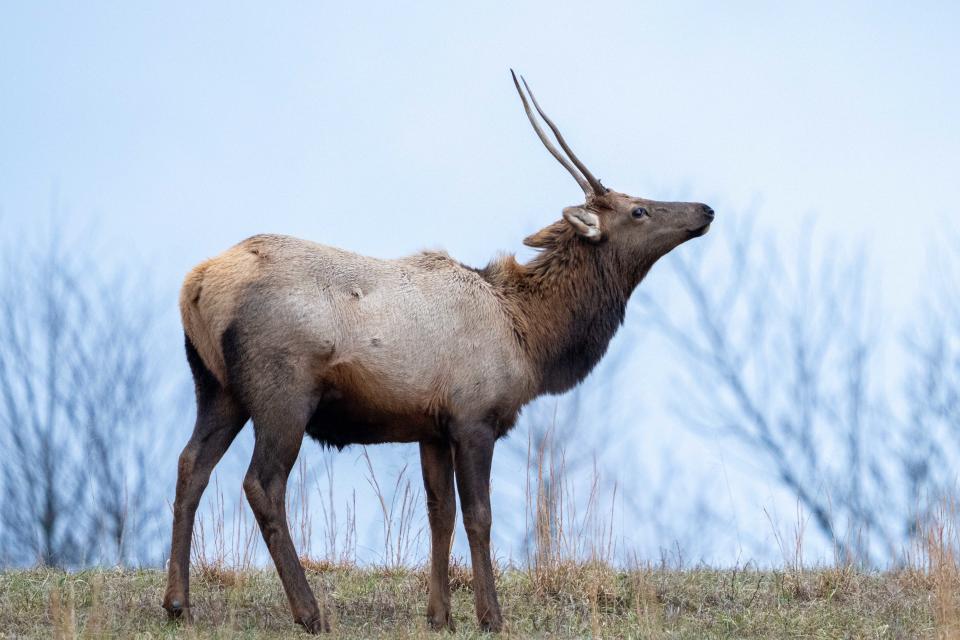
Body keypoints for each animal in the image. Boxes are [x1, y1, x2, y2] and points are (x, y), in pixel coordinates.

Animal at [159, 72, 712, 632]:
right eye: (638, 209)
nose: (706, 209)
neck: (531, 337)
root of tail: (194, 285)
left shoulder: (430, 427)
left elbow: (439, 514)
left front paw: (439, 615)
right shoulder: (474, 417)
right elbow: (478, 516)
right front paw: (491, 615)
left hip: (217, 387)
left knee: (190, 465)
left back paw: (178, 602)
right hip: (283, 392)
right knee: (262, 484)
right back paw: (310, 612)